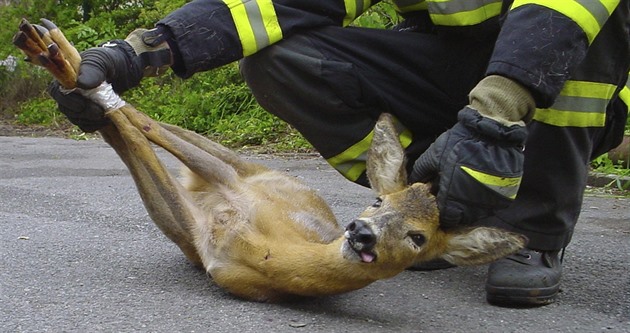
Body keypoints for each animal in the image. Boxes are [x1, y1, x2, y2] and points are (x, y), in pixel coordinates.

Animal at [14, 18, 528, 304]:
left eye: (419, 237)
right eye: (379, 202)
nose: (362, 232)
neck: (266, 254)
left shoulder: (202, 243)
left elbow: (136, 133)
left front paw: (85, 84)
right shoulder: (215, 212)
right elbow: (140, 126)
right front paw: (88, 77)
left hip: (219, 180)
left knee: (138, 130)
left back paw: (59, 59)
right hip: (240, 167)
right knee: (154, 126)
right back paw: (60, 54)